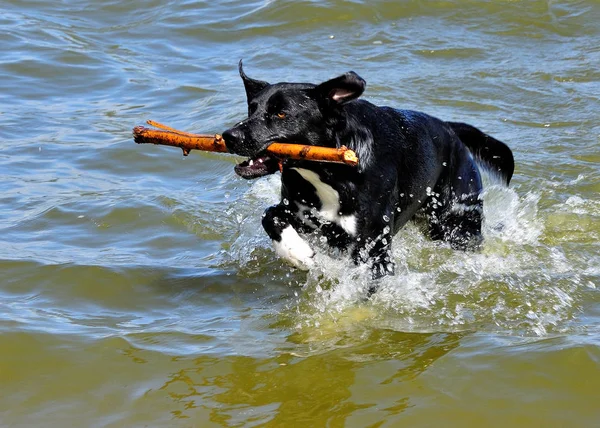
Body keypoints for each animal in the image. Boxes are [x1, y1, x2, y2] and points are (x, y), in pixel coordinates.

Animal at [223, 60, 512, 286]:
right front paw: (294, 251)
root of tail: (451, 130)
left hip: (458, 222)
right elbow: (270, 214)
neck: (329, 172)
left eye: (281, 113)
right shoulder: (305, 214)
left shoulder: (373, 246)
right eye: (252, 108)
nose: (229, 135)